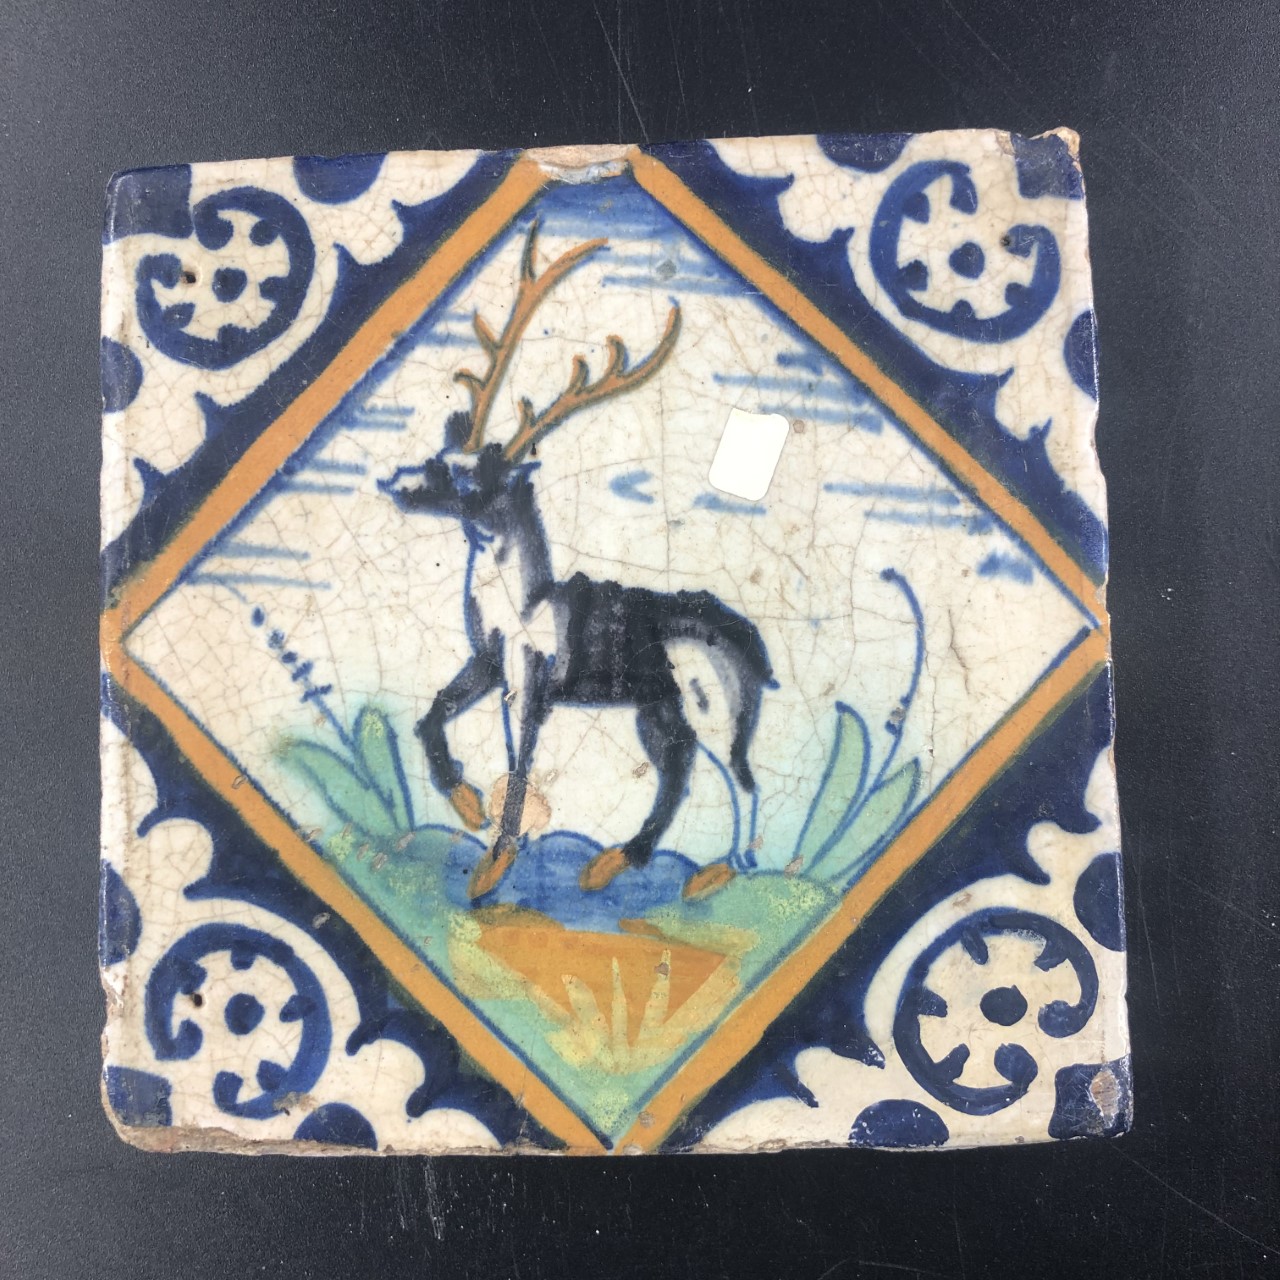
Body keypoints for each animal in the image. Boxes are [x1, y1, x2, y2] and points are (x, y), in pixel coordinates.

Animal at [380, 220, 775, 903]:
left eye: (469, 479)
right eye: (442, 456)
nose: (396, 483)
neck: (524, 602)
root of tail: (747, 640)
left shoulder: (530, 685)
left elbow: (520, 765)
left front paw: (492, 871)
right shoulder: (487, 664)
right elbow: (432, 716)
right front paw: (466, 803)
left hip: (712, 708)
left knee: (741, 779)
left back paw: (720, 874)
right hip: (657, 708)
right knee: (678, 769)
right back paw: (615, 862)